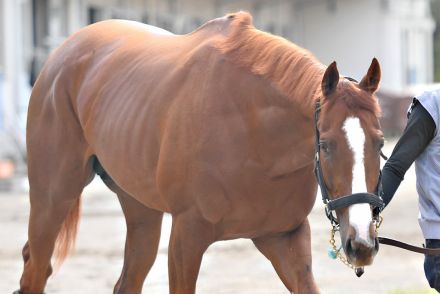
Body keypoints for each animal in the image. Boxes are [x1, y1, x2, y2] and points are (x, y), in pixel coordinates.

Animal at [17, 11, 384, 294]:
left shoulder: (283, 238)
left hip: (140, 209)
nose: (361, 243)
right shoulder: (186, 239)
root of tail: (59, 56)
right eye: (325, 145)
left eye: (379, 143)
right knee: (35, 270)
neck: (253, 132)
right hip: (53, 199)